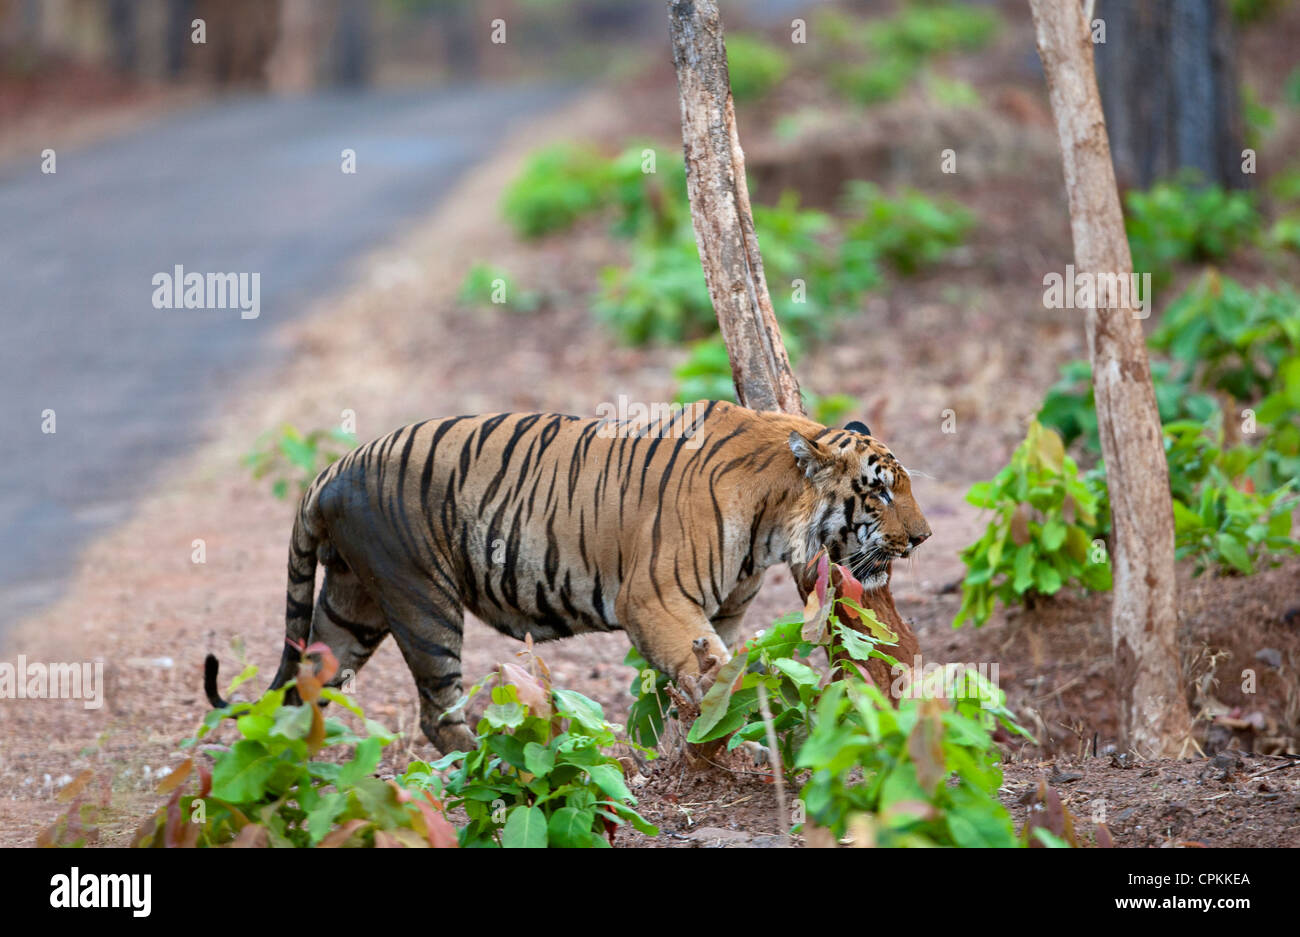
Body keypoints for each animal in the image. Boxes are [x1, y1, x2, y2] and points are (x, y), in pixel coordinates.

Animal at [202, 397, 930, 748]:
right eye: (878, 491)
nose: (922, 537)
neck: (775, 518)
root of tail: (332, 468)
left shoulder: (718, 612)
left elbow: (711, 681)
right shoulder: (656, 600)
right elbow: (720, 680)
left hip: (353, 604)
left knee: (302, 689)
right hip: (421, 598)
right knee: (436, 712)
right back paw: (488, 766)